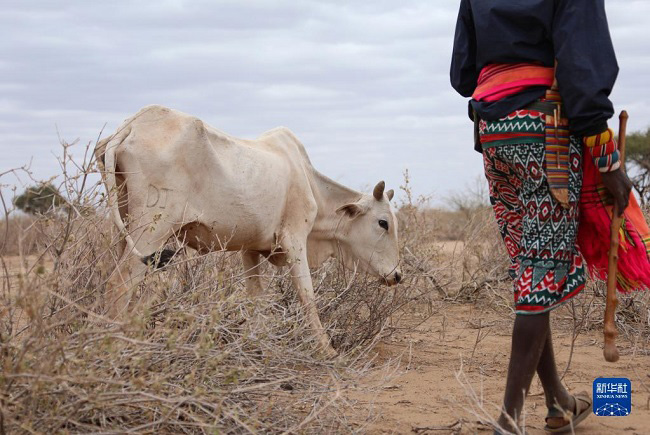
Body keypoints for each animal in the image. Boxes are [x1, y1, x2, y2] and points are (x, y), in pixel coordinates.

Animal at [95, 104, 400, 354]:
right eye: (383, 222)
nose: (397, 276)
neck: (310, 183)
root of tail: (131, 126)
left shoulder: (250, 248)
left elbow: (256, 297)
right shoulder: (294, 239)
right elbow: (307, 296)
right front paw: (328, 351)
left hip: (125, 225)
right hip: (152, 229)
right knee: (119, 283)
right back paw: (114, 346)